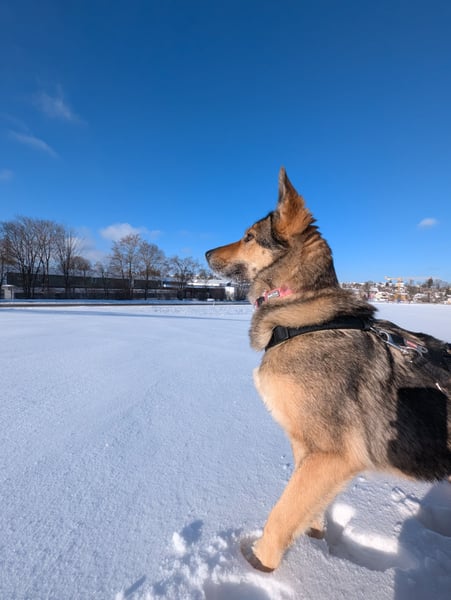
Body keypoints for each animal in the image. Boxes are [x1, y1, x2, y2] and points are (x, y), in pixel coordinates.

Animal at [205, 168, 451, 572]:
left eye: (249, 237)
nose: (206, 252)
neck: (303, 315)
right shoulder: (310, 450)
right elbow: (306, 507)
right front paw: (315, 541)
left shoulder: (332, 454)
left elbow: (282, 515)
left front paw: (256, 567)